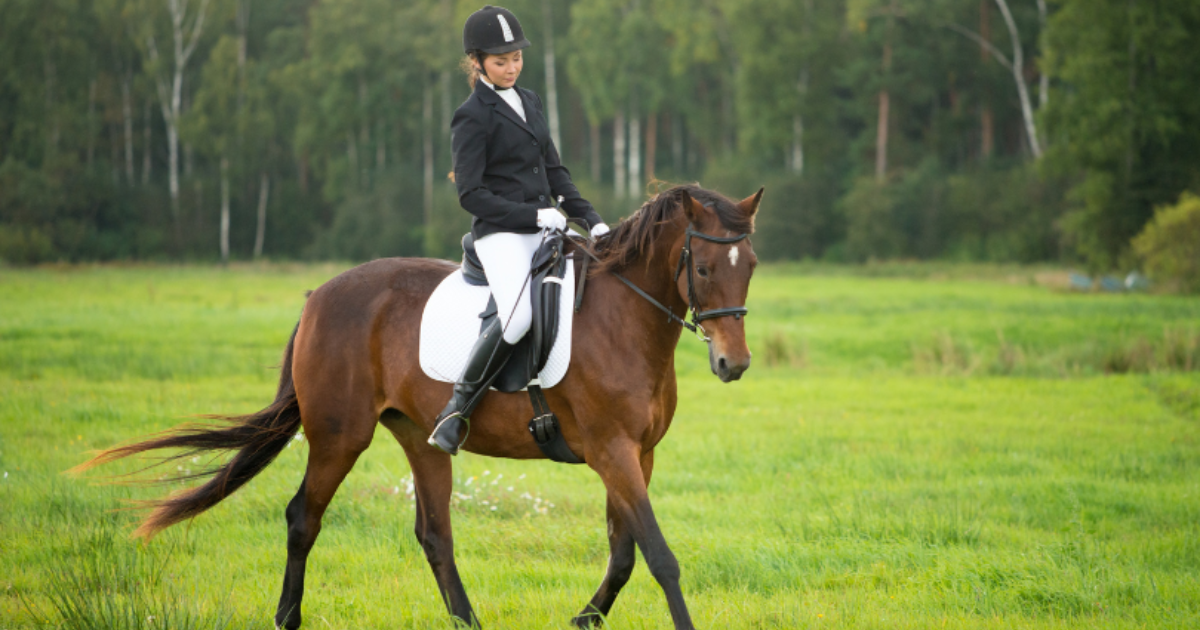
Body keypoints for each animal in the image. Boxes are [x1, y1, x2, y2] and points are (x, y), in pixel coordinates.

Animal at [77, 183, 762, 630]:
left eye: (750, 264)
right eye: (703, 266)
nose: (734, 364)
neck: (623, 320)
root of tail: (316, 297)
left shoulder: (637, 455)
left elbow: (624, 554)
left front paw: (584, 619)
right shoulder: (611, 451)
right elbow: (660, 557)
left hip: (420, 436)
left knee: (434, 534)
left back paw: (468, 624)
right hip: (339, 435)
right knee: (303, 518)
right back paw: (287, 618)